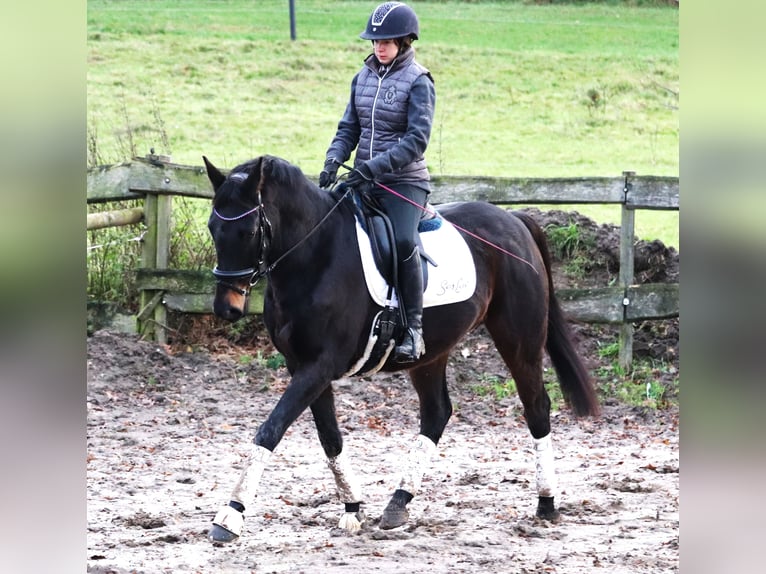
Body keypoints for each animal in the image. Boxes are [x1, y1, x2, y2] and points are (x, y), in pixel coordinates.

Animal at [202, 154, 600, 544]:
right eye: (212, 228)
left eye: (249, 231)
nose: (226, 308)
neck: (315, 257)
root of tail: (514, 220)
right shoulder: (301, 364)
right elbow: (329, 437)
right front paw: (352, 509)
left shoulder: (320, 365)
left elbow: (271, 429)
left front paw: (230, 515)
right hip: (430, 353)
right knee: (437, 413)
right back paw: (398, 503)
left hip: (519, 339)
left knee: (536, 407)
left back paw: (546, 503)